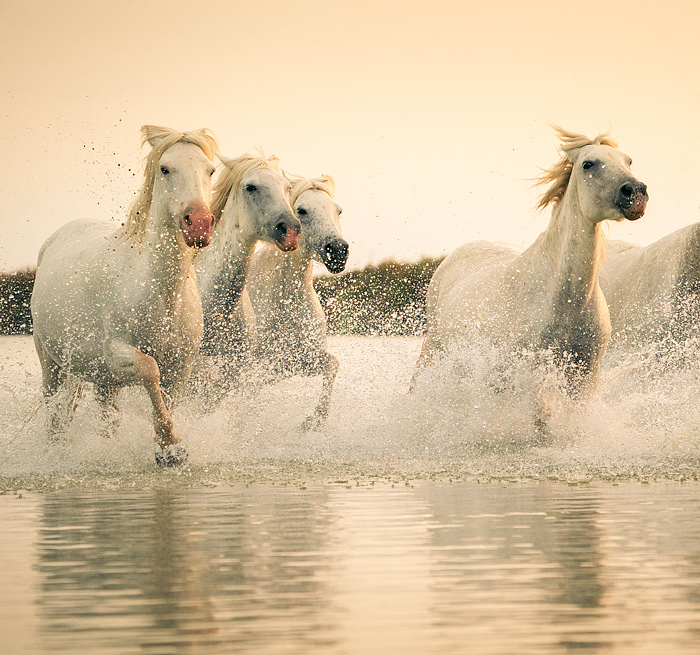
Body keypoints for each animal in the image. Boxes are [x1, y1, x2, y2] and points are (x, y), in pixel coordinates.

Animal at [30, 125, 219, 466]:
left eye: (210, 170)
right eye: (165, 168)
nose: (198, 223)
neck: (162, 295)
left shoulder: (181, 366)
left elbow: (169, 398)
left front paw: (168, 451)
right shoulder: (115, 352)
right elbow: (149, 368)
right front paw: (169, 442)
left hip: (104, 381)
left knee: (106, 419)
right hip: (52, 365)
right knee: (55, 413)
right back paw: (55, 451)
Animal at [246, 174, 350, 430]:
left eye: (338, 210)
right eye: (302, 210)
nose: (338, 251)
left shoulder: (298, 360)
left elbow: (332, 365)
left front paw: (313, 421)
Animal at [412, 127, 648, 422]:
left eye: (628, 161)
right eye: (588, 164)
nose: (636, 193)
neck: (564, 301)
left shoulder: (584, 377)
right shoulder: (531, 375)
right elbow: (543, 420)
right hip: (434, 354)